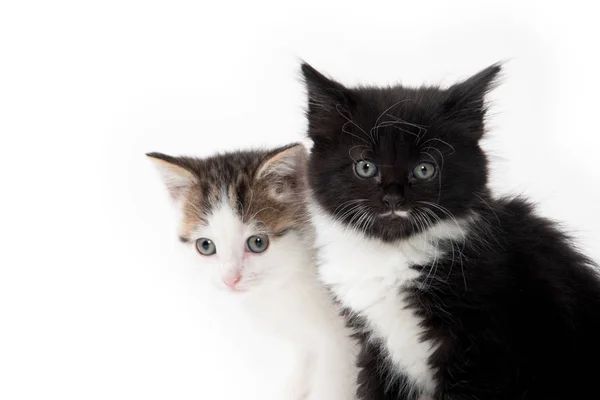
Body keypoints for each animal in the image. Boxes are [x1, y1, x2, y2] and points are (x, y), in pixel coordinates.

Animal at [148, 145, 358, 400]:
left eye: (258, 243)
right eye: (205, 246)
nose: (230, 279)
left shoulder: (346, 340)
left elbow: (333, 385)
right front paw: (293, 387)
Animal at [302, 62, 600, 400]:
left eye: (424, 169)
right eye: (365, 167)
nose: (393, 198)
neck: (393, 255)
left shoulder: (483, 351)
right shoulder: (374, 343)